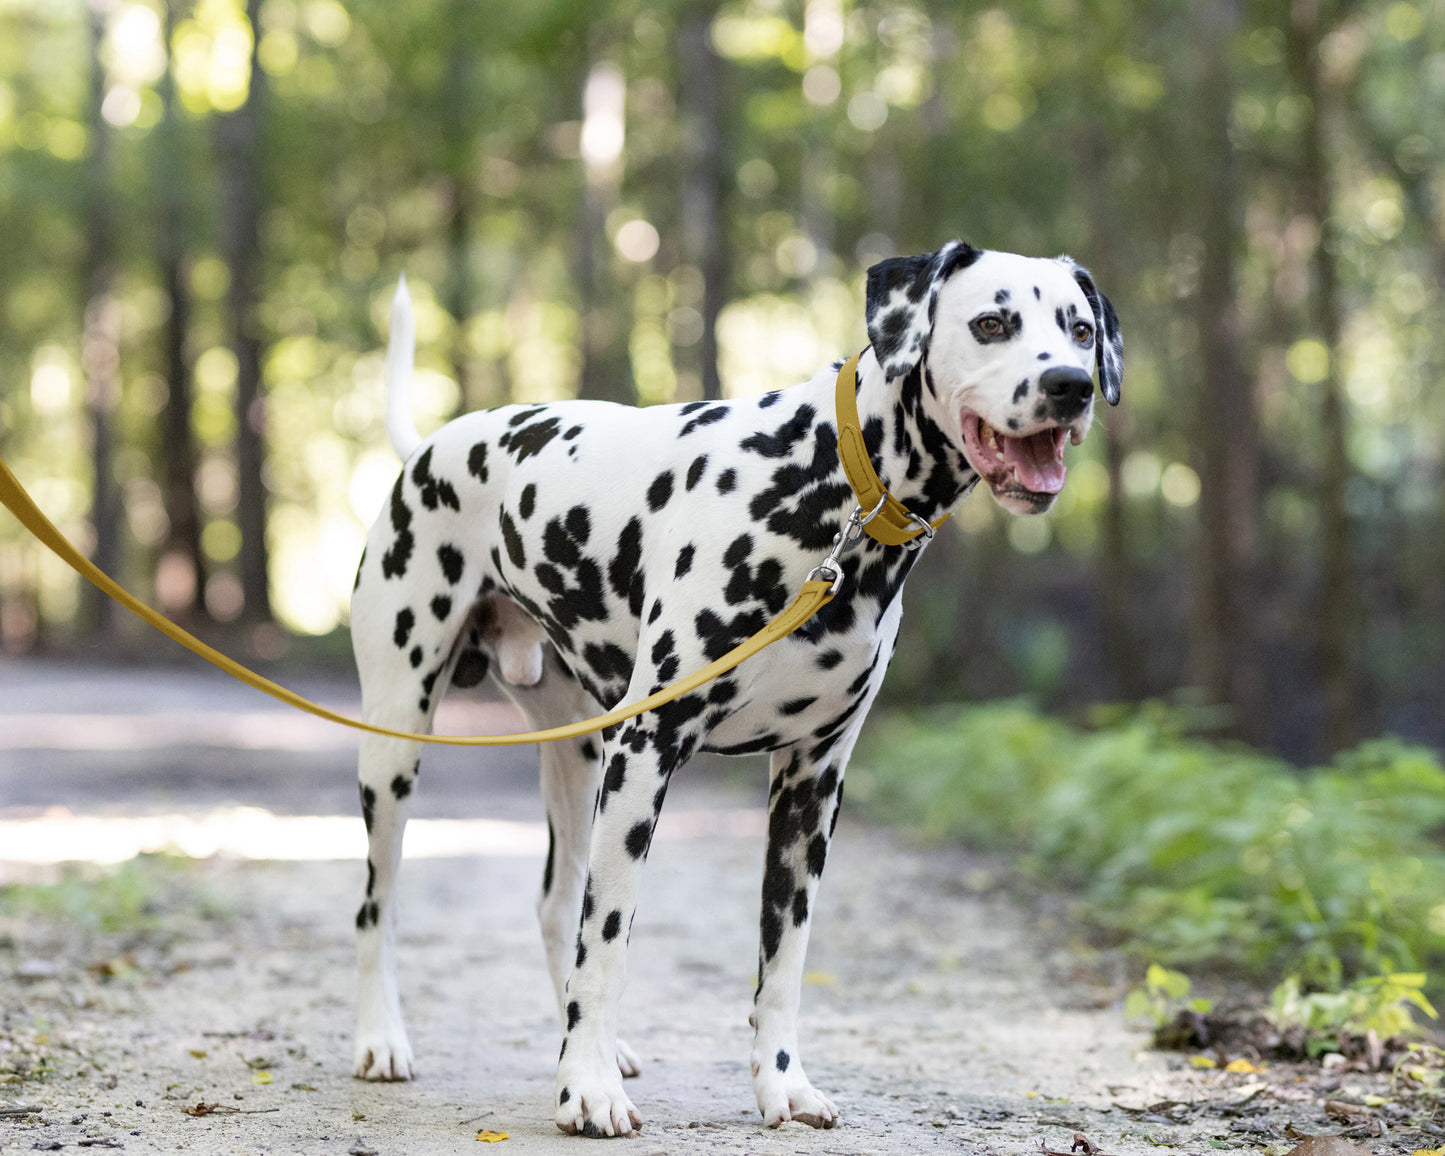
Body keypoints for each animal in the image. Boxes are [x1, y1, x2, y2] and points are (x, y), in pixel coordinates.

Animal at [346, 239, 1115, 1132]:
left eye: (1079, 329)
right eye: (991, 322)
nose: (1070, 385)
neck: (831, 487)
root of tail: (430, 447)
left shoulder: (810, 786)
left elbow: (782, 961)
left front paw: (780, 1084)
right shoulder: (646, 755)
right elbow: (609, 939)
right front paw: (587, 1091)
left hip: (575, 758)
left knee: (554, 904)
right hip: (397, 748)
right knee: (379, 905)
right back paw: (383, 1040)